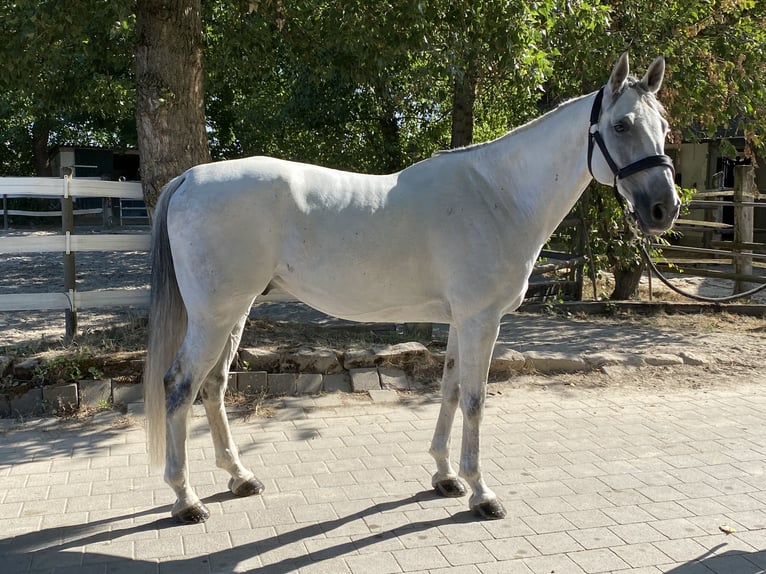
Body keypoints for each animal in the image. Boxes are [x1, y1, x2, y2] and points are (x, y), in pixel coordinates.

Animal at [145, 52, 680, 524]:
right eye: (621, 126)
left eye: (664, 128)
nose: (664, 209)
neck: (497, 196)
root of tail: (190, 178)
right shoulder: (482, 320)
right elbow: (475, 399)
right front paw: (482, 494)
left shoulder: (462, 321)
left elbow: (450, 389)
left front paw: (446, 477)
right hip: (214, 316)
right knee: (179, 385)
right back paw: (186, 500)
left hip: (234, 313)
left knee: (213, 386)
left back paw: (239, 477)